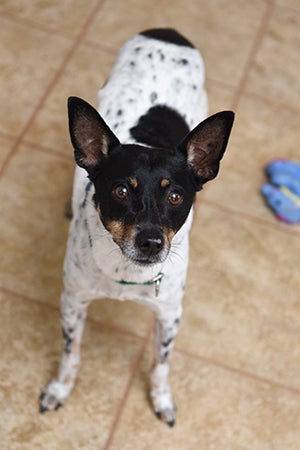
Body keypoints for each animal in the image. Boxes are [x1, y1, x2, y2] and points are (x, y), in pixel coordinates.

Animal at [39, 26, 234, 428]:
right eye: (121, 190)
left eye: (175, 196)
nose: (151, 242)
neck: (124, 273)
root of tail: (168, 31)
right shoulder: (73, 302)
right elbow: (71, 355)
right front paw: (60, 389)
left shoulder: (170, 316)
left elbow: (160, 365)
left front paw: (162, 399)